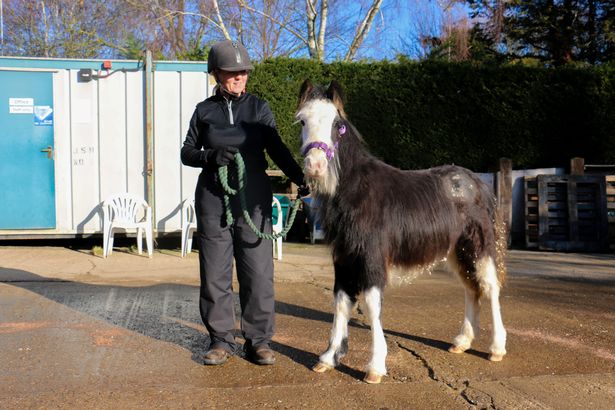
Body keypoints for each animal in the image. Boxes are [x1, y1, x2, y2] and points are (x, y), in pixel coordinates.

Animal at [296, 79, 508, 384]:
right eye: (302, 120)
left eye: (337, 124)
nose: (315, 165)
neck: (356, 191)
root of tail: (478, 183)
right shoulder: (344, 259)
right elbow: (341, 302)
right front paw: (327, 358)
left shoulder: (372, 257)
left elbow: (371, 305)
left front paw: (375, 367)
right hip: (457, 251)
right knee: (470, 287)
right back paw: (461, 342)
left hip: (479, 246)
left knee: (490, 286)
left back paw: (496, 348)